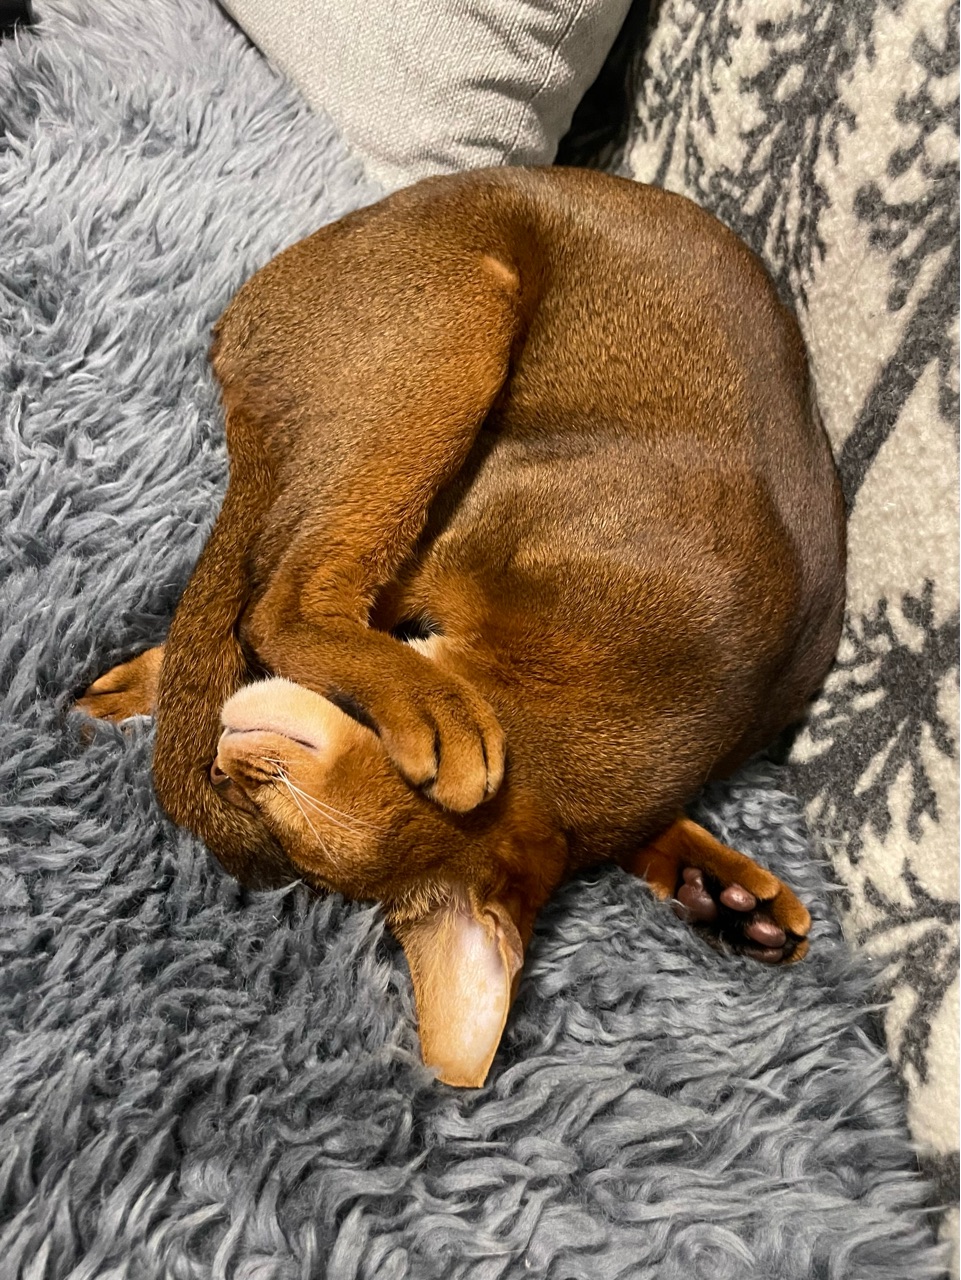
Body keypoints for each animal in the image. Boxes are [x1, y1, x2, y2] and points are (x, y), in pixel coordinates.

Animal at [78, 167, 846, 1088]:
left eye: (272, 799)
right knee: (278, 593)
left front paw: (721, 889)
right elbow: (261, 608)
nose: (228, 760)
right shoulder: (462, 517)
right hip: (463, 317)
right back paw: (424, 712)